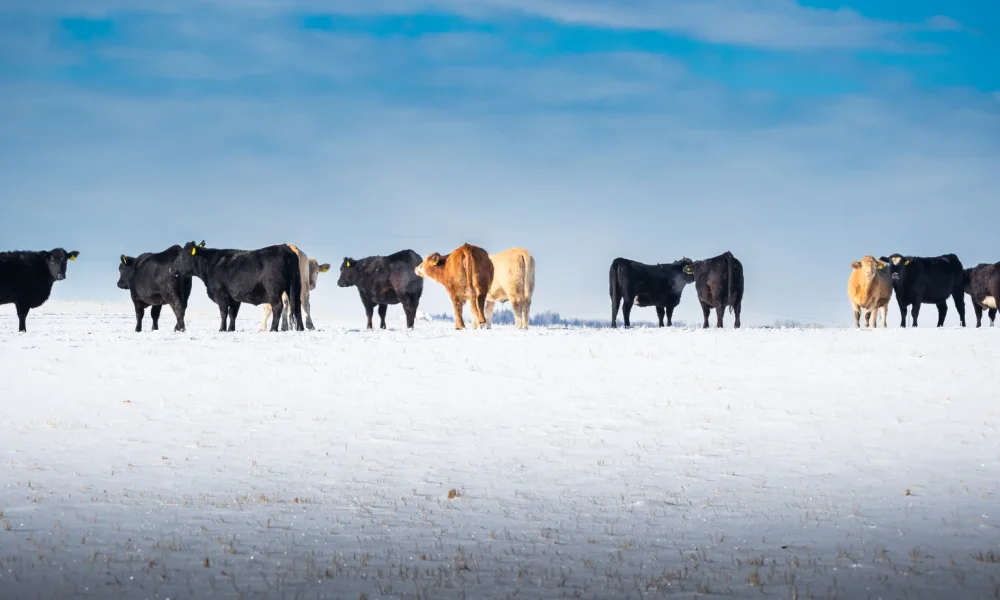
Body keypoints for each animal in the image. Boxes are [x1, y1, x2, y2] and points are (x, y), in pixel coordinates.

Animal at [170, 240, 304, 332]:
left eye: (182, 256)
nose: (171, 269)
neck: (211, 266)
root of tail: (284, 248)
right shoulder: (234, 298)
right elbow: (232, 314)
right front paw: (231, 329)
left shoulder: (221, 296)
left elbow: (223, 313)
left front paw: (222, 329)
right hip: (296, 285)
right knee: (297, 306)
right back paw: (300, 328)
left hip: (273, 290)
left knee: (277, 306)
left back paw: (273, 329)